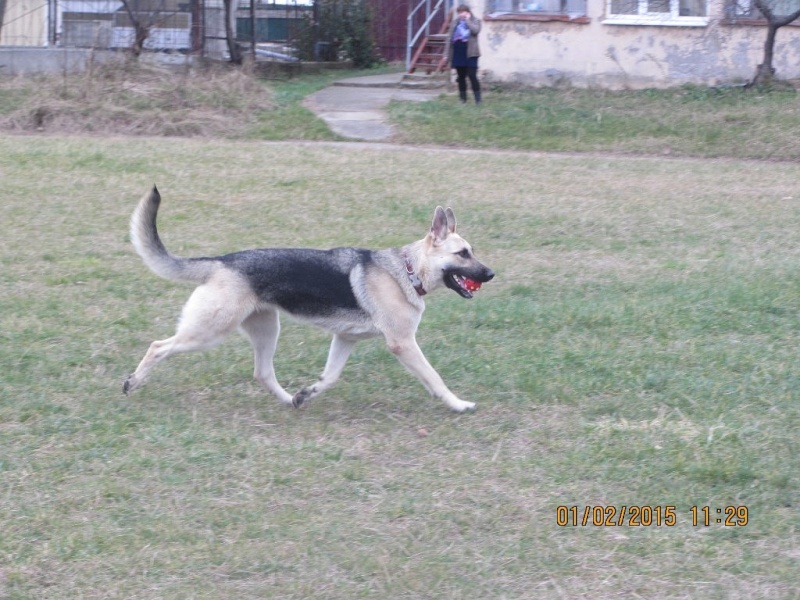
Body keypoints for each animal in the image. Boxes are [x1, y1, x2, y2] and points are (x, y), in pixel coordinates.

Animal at [124, 188, 494, 412]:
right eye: (462, 254)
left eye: (471, 251)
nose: (491, 274)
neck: (406, 270)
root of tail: (221, 261)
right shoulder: (402, 344)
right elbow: (435, 378)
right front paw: (459, 404)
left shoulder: (344, 340)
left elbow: (329, 377)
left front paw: (307, 394)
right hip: (208, 332)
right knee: (158, 346)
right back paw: (132, 382)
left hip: (266, 331)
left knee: (262, 373)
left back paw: (290, 399)